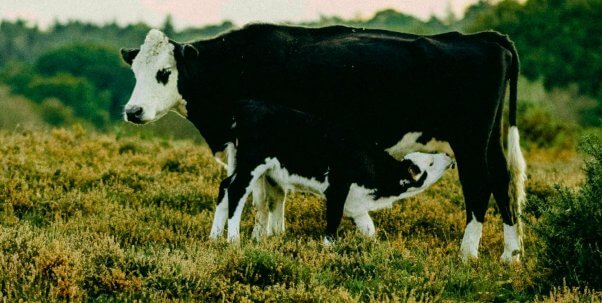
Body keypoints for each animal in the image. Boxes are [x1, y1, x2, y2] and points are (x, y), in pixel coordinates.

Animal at [119, 23, 524, 262]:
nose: (132, 110)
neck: (239, 63)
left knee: (479, 186)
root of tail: (485, 37)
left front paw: (261, 236)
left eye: (164, 72)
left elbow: (263, 193)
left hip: (470, 142)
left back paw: (468, 252)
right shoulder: (247, 148)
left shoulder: (258, 146)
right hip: (489, 141)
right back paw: (511, 253)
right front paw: (267, 236)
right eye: (135, 71)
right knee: (502, 182)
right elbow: (264, 192)